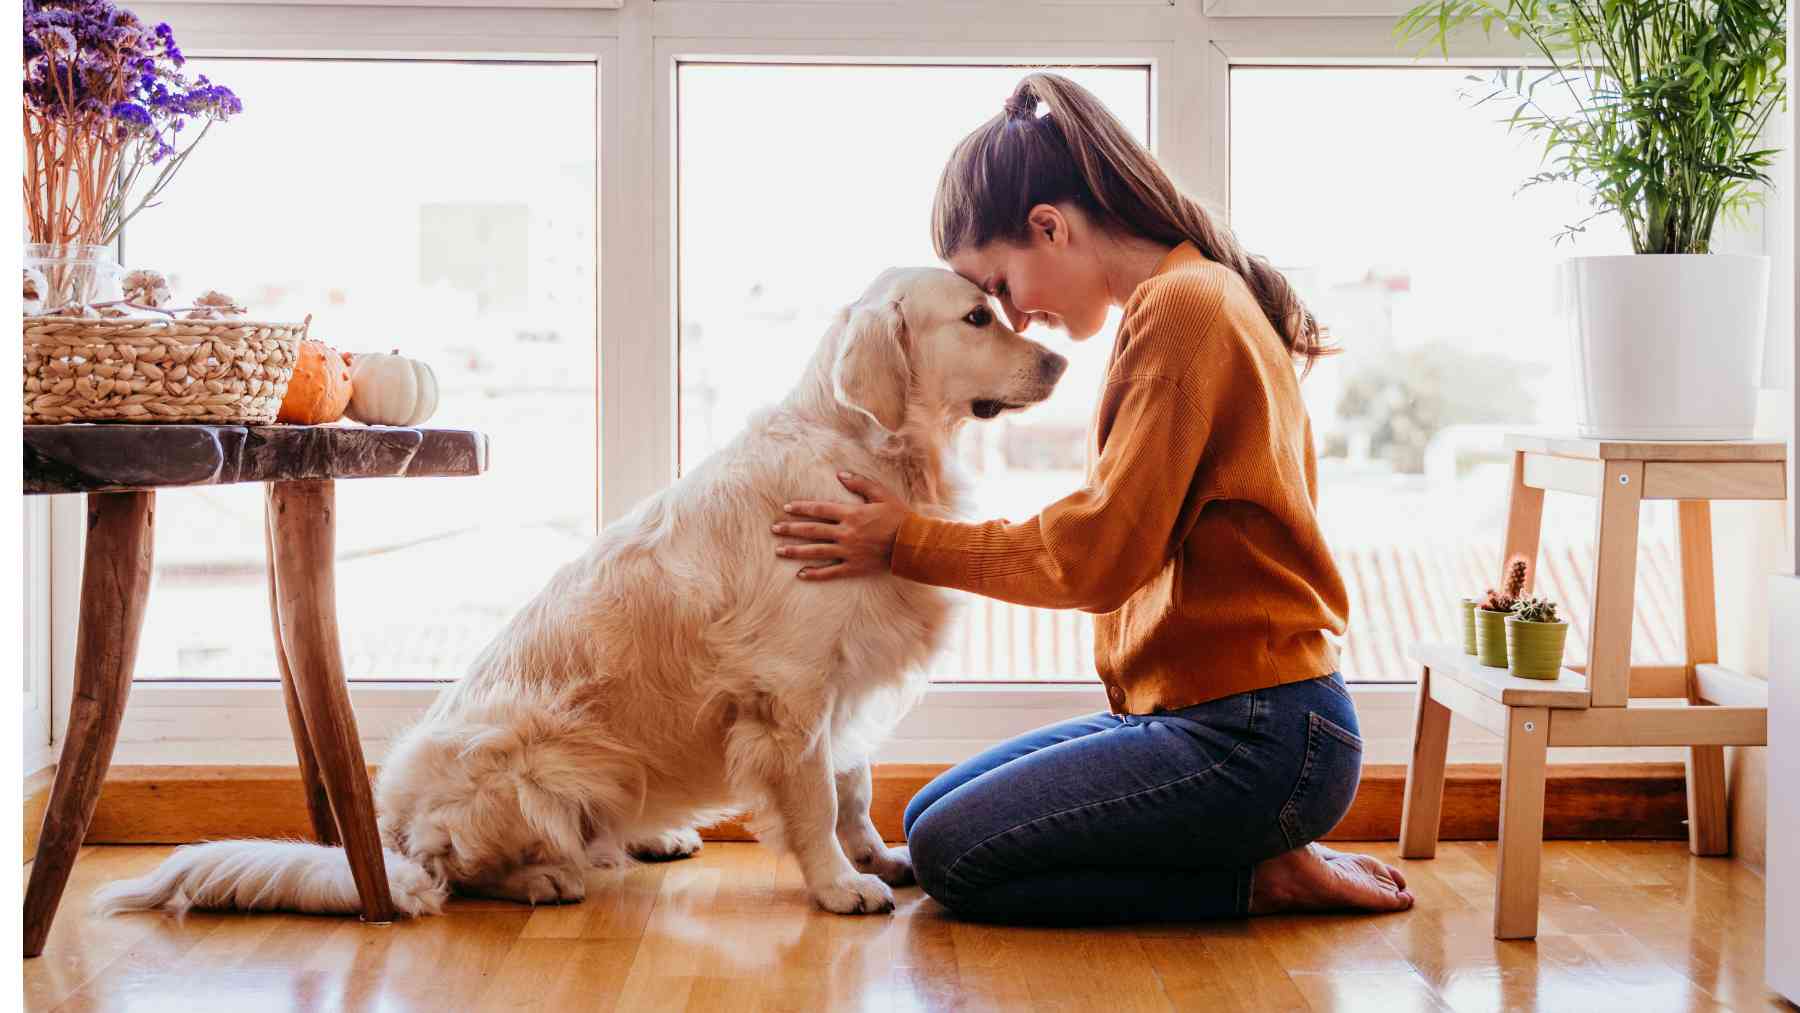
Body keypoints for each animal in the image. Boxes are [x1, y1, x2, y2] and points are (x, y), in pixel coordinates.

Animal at [94, 268, 1065, 921]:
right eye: (977, 317)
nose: (1060, 358)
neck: (869, 452)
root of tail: (391, 833)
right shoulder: (790, 690)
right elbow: (819, 799)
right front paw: (838, 884)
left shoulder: (844, 676)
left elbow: (856, 784)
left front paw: (879, 856)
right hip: (531, 760)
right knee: (461, 871)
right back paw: (545, 875)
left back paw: (650, 835)